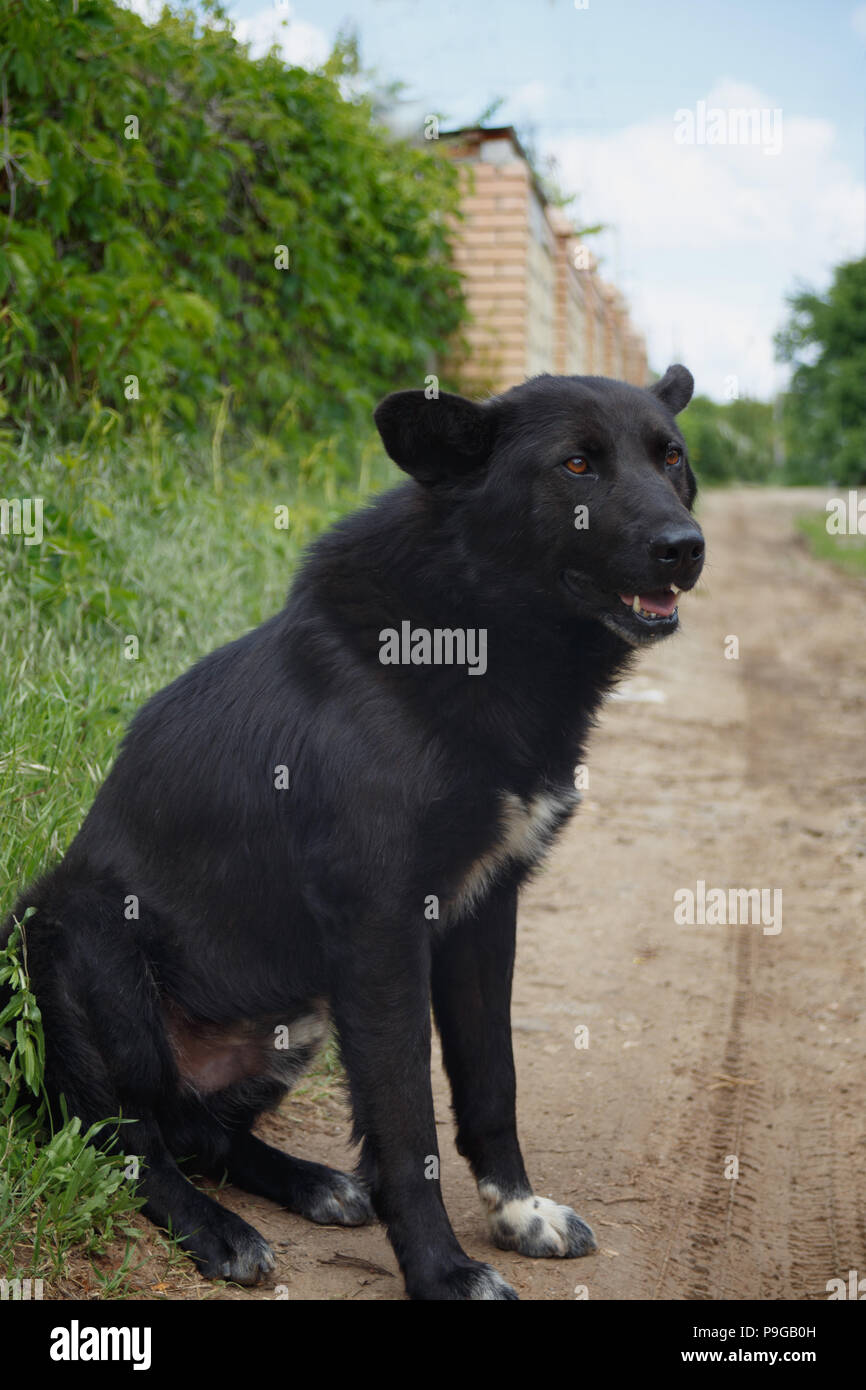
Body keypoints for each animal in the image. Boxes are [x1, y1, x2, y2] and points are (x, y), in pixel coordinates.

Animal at [1, 364, 706, 1295]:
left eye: (672, 458)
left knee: (199, 1131)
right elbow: (407, 1127)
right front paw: (442, 1271)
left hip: (291, 1023)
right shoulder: (380, 932)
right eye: (577, 465)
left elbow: (493, 1082)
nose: (685, 547)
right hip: (74, 934)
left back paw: (311, 1184)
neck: (480, 633)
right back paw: (217, 1229)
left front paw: (518, 1212)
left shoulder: (484, 914)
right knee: (123, 1139)